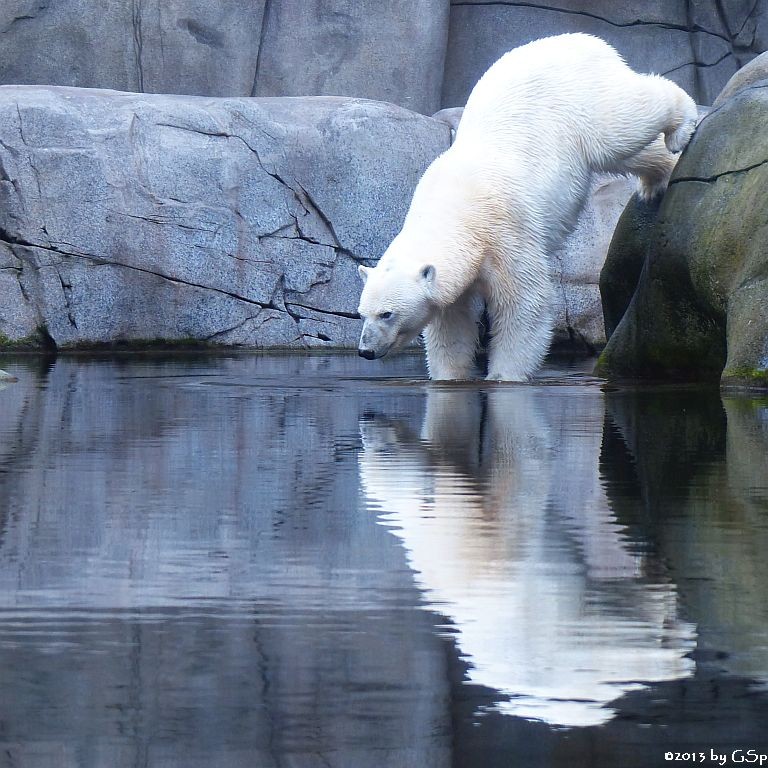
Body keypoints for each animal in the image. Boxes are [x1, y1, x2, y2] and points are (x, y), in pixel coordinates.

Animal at [356, 33, 700, 380]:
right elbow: (451, 321)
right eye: (361, 313)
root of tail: (588, 41)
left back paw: (681, 127)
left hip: (579, 101)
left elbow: (523, 302)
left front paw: (502, 375)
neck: (455, 210)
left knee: (621, 125)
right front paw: (451, 375)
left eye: (387, 313)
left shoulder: (504, 229)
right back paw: (658, 179)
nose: (365, 351)